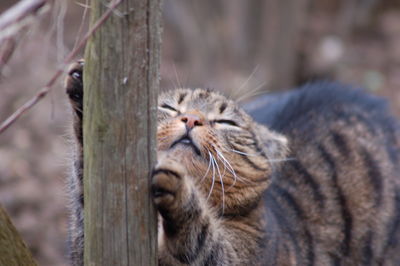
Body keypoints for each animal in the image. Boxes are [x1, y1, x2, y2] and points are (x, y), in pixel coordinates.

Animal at [64, 60, 400, 266]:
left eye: (226, 122)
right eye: (170, 108)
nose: (192, 118)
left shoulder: (236, 256)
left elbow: (204, 240)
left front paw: (180, 189)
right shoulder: (93, 246)